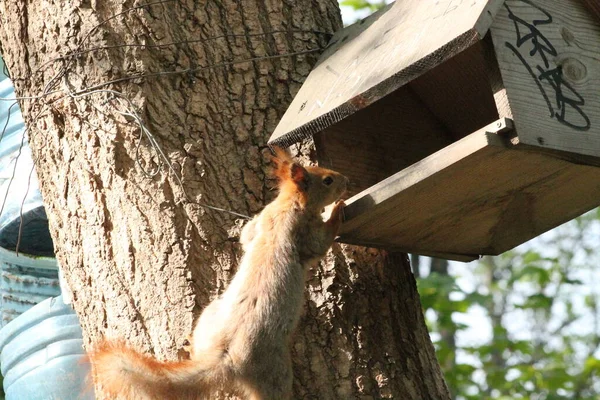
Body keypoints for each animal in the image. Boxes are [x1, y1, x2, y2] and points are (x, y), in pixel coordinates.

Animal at [91, 148, 350, 398]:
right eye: (327, 180)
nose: (345, 180)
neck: (287, 204)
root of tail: (228, 356)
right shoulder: (303, 230)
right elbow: (320, 244)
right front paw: (337, 211)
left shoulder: (260, 222)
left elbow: (246, 236)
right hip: (275, 373)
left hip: (210, 315)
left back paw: (190, 345)